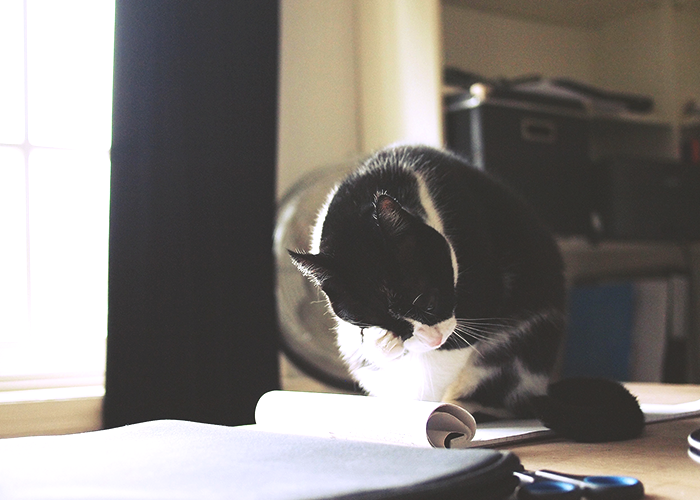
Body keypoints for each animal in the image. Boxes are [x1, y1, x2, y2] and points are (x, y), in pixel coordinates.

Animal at [288, 145, 568, 418]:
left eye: (429, 302)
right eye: (380, 322)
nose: (434, 340)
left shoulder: (480, 282)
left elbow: (440, 363)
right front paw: (383, 343)